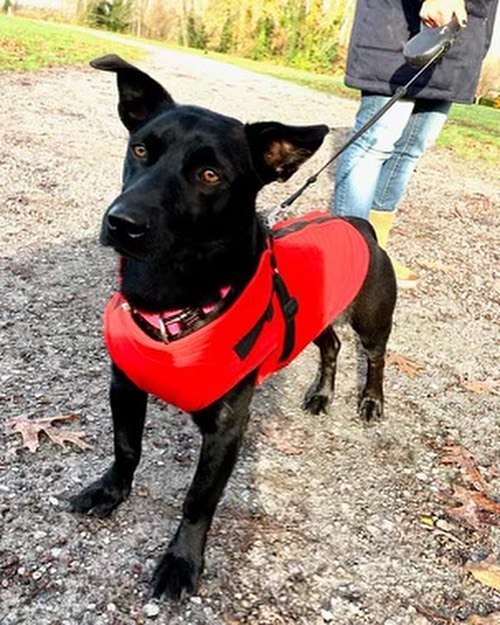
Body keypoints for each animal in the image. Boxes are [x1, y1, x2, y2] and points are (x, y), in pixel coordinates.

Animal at [71, 56, 398, 604]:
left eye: (210, 174)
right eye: (141, 149)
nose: (122, 223)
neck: (172, 302)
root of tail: (359, 223)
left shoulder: (227, 428)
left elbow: (199, 498)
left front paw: (181, 562)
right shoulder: (125, 388)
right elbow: (126, 448)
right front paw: (110, 491)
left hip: (372, 320)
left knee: (373, 356)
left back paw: (370, 400)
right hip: (313, 317)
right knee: (330, 345)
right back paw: (321, 394)